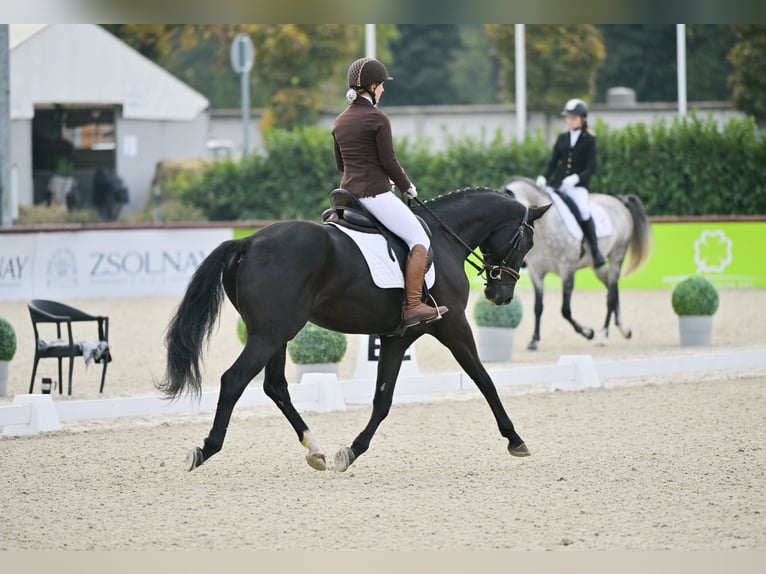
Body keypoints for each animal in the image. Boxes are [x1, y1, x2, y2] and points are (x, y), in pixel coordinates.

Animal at [158, 188, 552, 472]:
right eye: (528, 242)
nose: (500, 295)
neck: (444, 239)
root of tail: (248, 241)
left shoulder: (398, 337)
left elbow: (382, 400)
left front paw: (351, 451)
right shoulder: (452, 325)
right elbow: (484, 379)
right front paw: (515, 439)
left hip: (275, 334)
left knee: (275, 386)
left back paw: (315, 450)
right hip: (269, 335)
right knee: (235, 380)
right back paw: (206, 449)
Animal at [508, 178, 652, 352]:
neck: (546, 228)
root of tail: (618, 201)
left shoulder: (567, 270)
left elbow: (565, 310)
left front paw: (588, 333)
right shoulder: (537, 273)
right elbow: (538, 307)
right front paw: (534, 341)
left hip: (617, 255)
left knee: (611, 295)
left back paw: (604, 335)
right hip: (598, 267)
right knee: (612, 288)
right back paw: (624, 329)